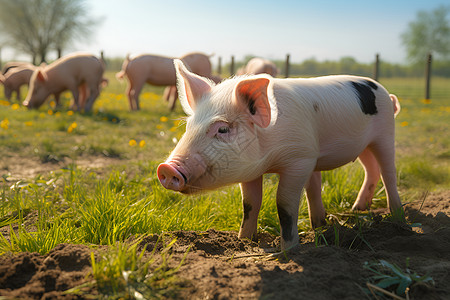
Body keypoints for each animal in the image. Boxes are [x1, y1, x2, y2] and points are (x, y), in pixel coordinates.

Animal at [158, 59, 404, 251]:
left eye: (223, 129)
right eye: (189, 126)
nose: (167, 168)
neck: (271, 157)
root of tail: (385, 92)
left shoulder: (300, 159)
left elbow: (284, 204)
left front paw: (288, 249)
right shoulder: (252, 170)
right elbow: (250, 204)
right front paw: (243, 240)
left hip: (385, 134)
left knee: (388, 173)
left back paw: (398, 219)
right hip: (364, 146)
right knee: (370, 169)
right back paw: (353, 211)